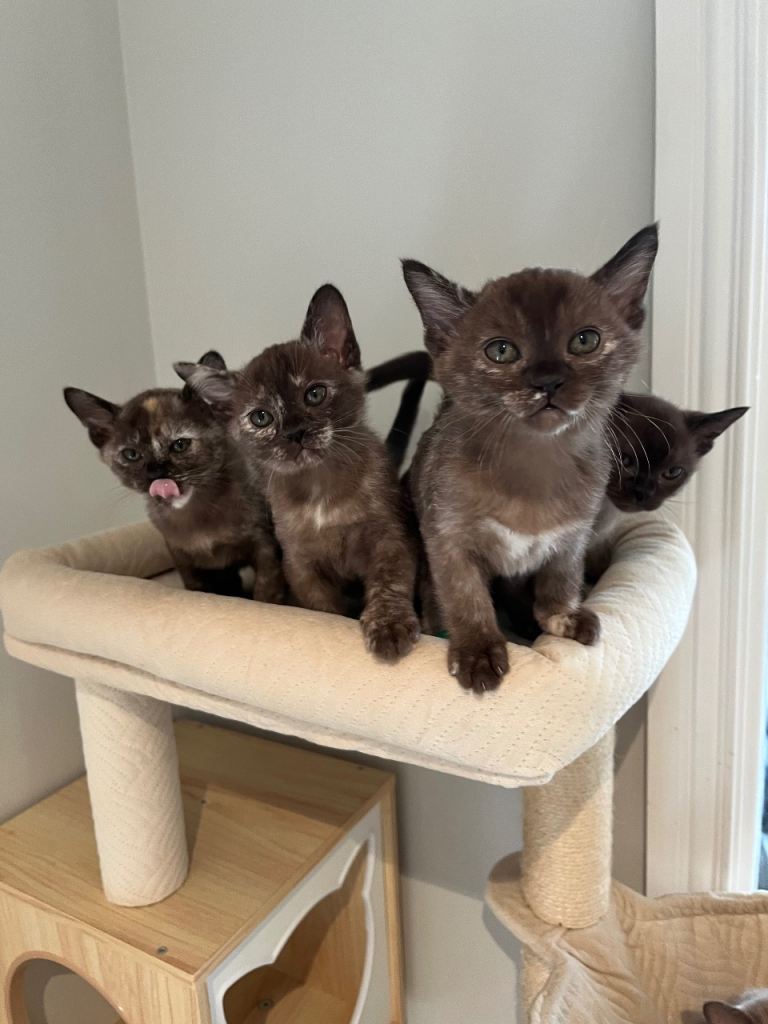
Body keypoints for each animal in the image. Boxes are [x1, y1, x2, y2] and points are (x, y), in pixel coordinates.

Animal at [64, 351, 284, 601]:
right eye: (131, 454)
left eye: (180, 445)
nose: (156, 472)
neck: (195, 516)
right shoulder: (184, 559)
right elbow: (199, 592)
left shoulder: (264, 547)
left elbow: (266, 592)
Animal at [176, 285, 420, 662]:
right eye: (260, 417)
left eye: (315, 394)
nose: (295, 433)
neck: (320, 488)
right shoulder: (300, 564)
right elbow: (326, 611)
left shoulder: (390, 539)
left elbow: (388, 583)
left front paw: (389, 628)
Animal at [401, 225, 658, 692]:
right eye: (500, 351)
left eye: (585, 340)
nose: (548, 381)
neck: (535, 467)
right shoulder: (447, 540)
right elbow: (465, 596)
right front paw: (478, 653)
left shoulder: (573, 536)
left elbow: (562, 577)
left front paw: (561, 618)